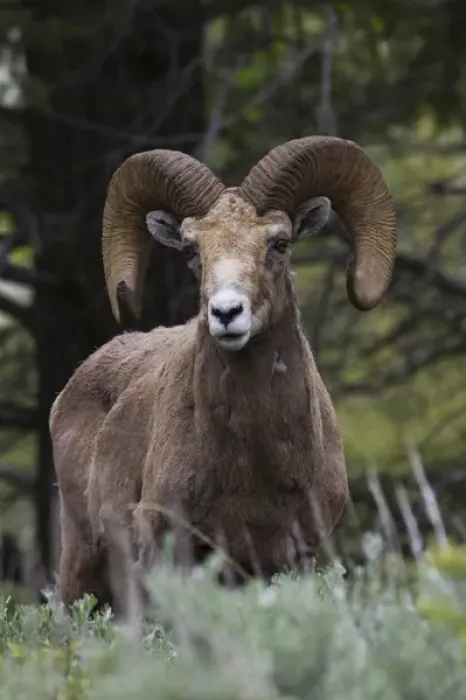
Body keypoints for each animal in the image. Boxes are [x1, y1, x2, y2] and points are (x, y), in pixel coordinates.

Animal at [50, 135, 397, 607]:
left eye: (280, 243)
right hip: (82, 568)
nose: (227, 313)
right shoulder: (172, 550)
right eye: (191, 249)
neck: (254, 466)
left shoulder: (294, 557)